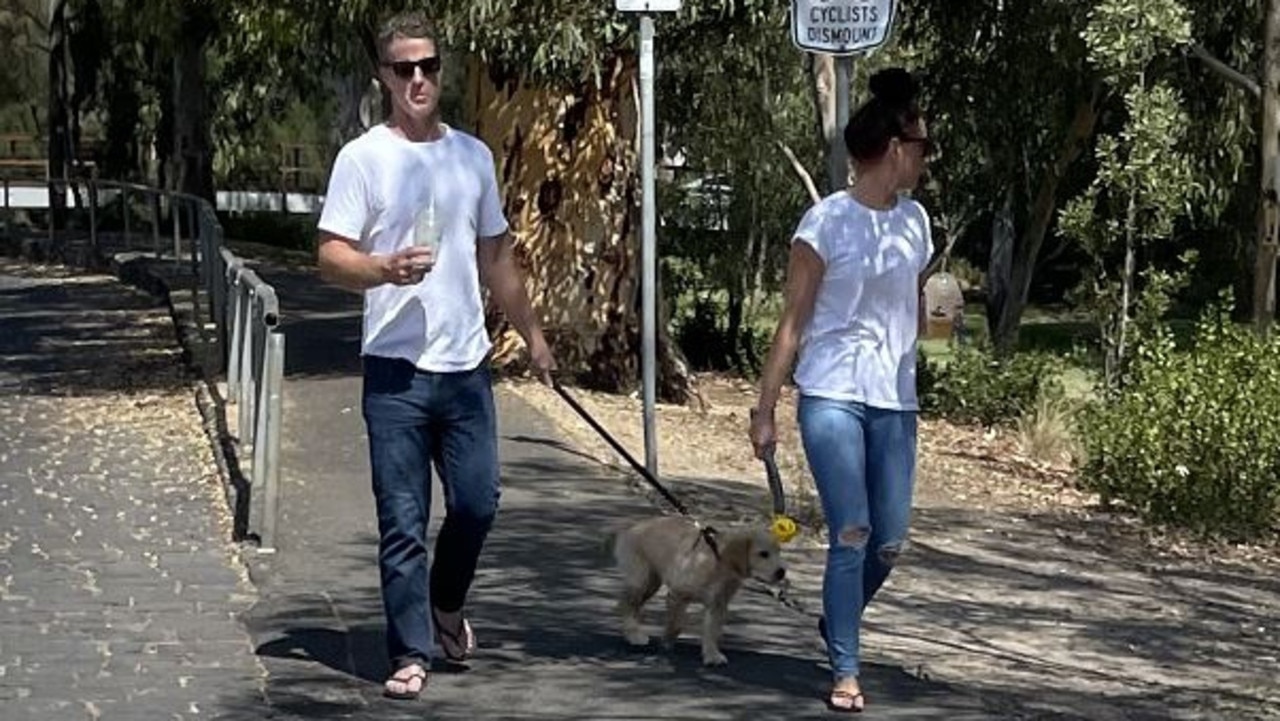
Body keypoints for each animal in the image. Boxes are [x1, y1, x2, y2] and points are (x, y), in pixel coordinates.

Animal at [604, 517, 783, 671]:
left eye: (779, 552)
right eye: (763, 554)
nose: (782, 572)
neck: (718, 562)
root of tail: (630, 527)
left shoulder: (718, 604)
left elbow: (712, 631)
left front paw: (712, 655)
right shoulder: (677, 594)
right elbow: (677, 623)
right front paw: (667, 641)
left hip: (651, 582)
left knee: (630, 604)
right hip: (641, 579)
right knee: (626, 603)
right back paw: (634, 634)